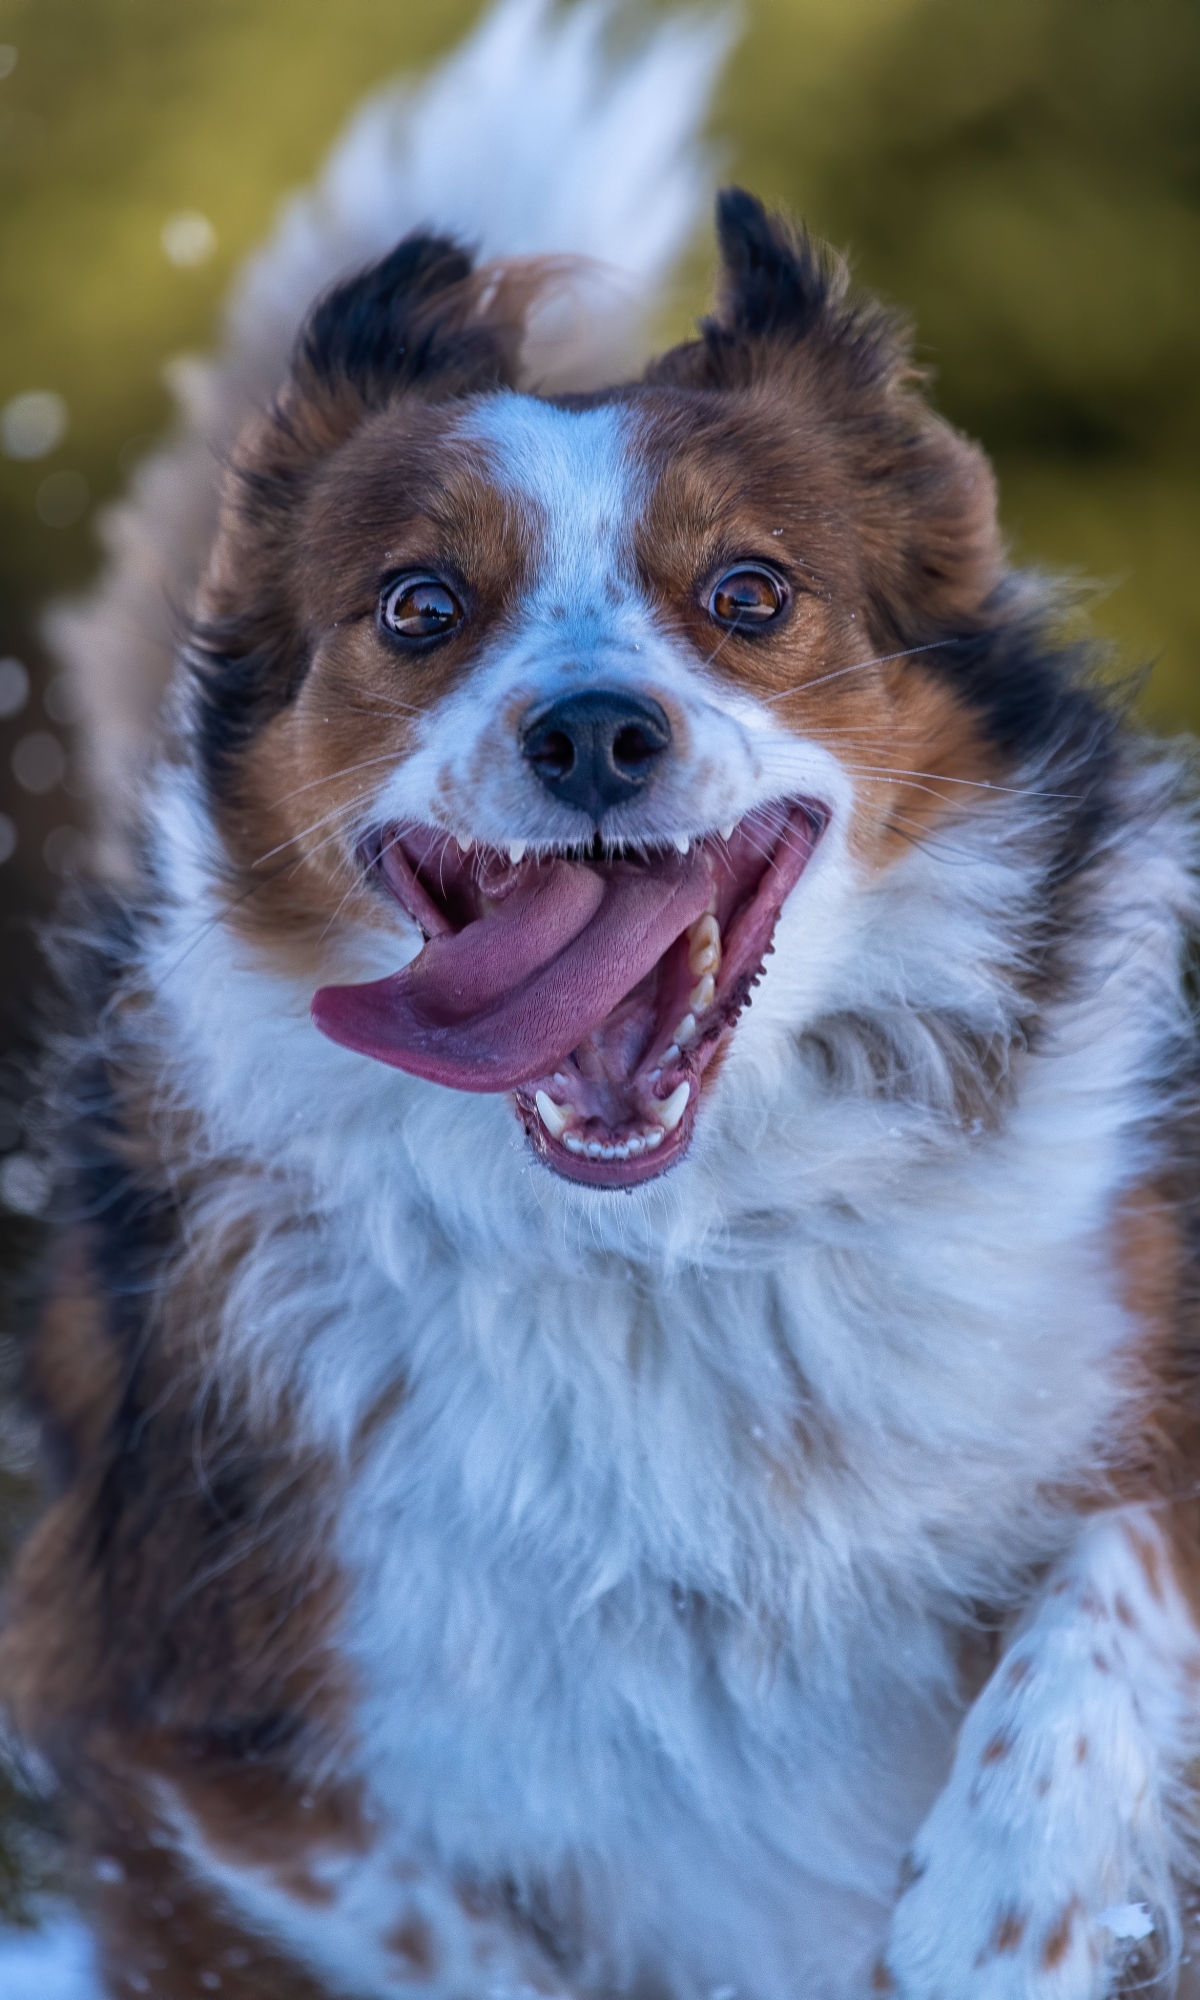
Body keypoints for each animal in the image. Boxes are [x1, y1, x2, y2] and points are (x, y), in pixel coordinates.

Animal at [2, 3, 1200, 2000]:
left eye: (752, 592)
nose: (591, 733)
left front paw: (1005, 1894)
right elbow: (445, 1928)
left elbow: (1122, 1558)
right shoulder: (169, 1730)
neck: (671, 1250)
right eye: (418, 607)